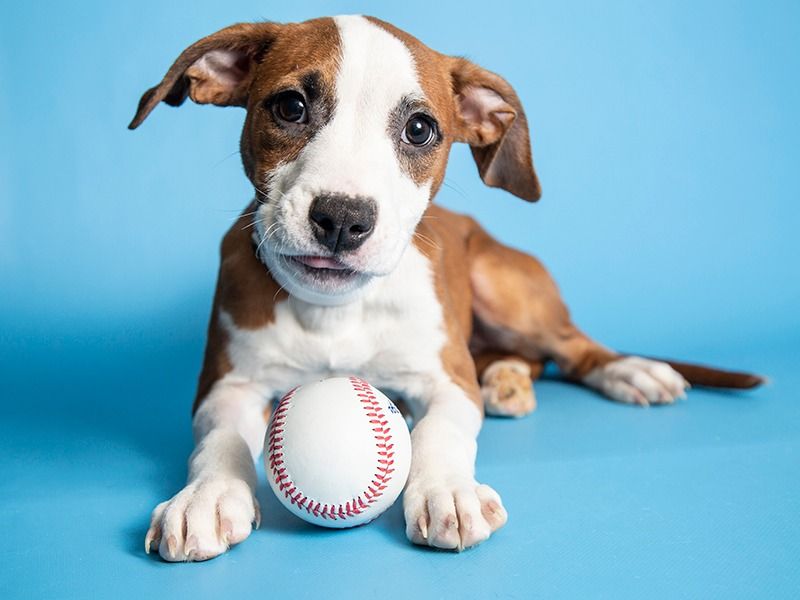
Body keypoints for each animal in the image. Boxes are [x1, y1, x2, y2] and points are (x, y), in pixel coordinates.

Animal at [131, 14, 764, 560]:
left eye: (419, 129)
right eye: (291, 107)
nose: (342, 218)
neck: (337, 310)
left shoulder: (447, 380)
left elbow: (439, 430)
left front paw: (446, 492)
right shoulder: (225, 388)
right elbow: (220, 441)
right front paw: (207, 497)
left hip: (502, 286)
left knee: (572, 349)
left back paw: (627, 371)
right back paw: (507, 379)